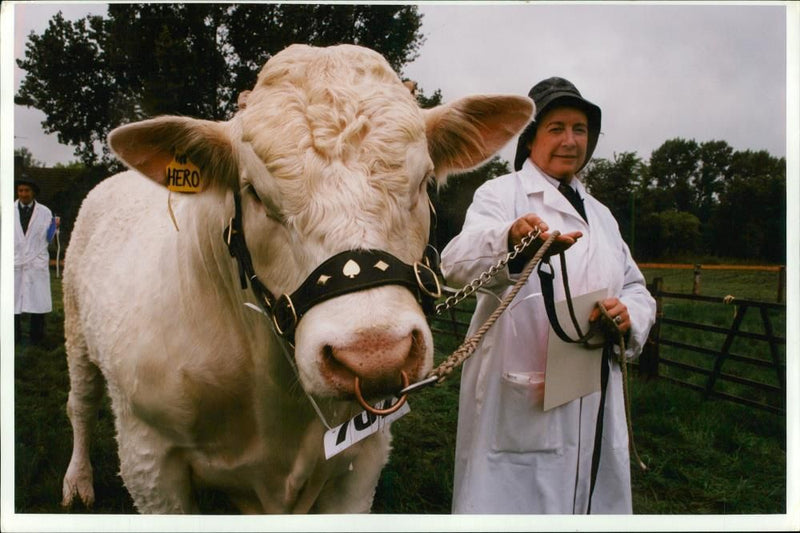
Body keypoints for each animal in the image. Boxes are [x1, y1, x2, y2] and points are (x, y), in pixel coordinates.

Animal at [57, 43, 532, 512]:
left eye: (425, 181)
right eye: (254, 192)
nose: (375, 355)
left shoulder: (362, 461)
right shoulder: (150, 458)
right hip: (76, 329)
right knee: (80, 403)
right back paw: (77, 481)